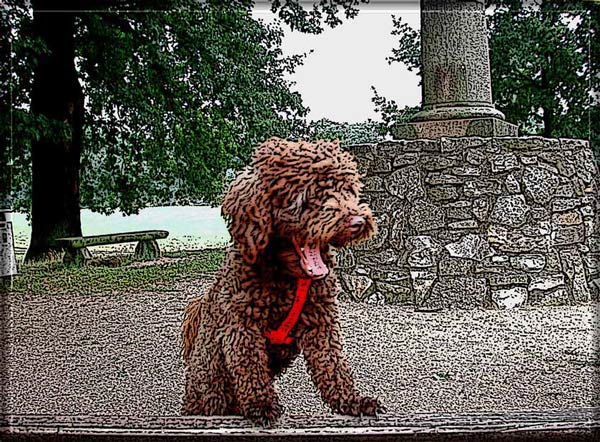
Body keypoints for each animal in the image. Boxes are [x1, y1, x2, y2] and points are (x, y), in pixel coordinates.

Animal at [180, 138, 382, 424]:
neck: (289, 278)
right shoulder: (241, 325)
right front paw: (261, 405)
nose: (358, 221)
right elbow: (250, 366)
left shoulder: (321, 322)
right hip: (209, 389)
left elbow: (332, 364)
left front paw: (351, 401)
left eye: (348, 190)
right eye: (312, 194)